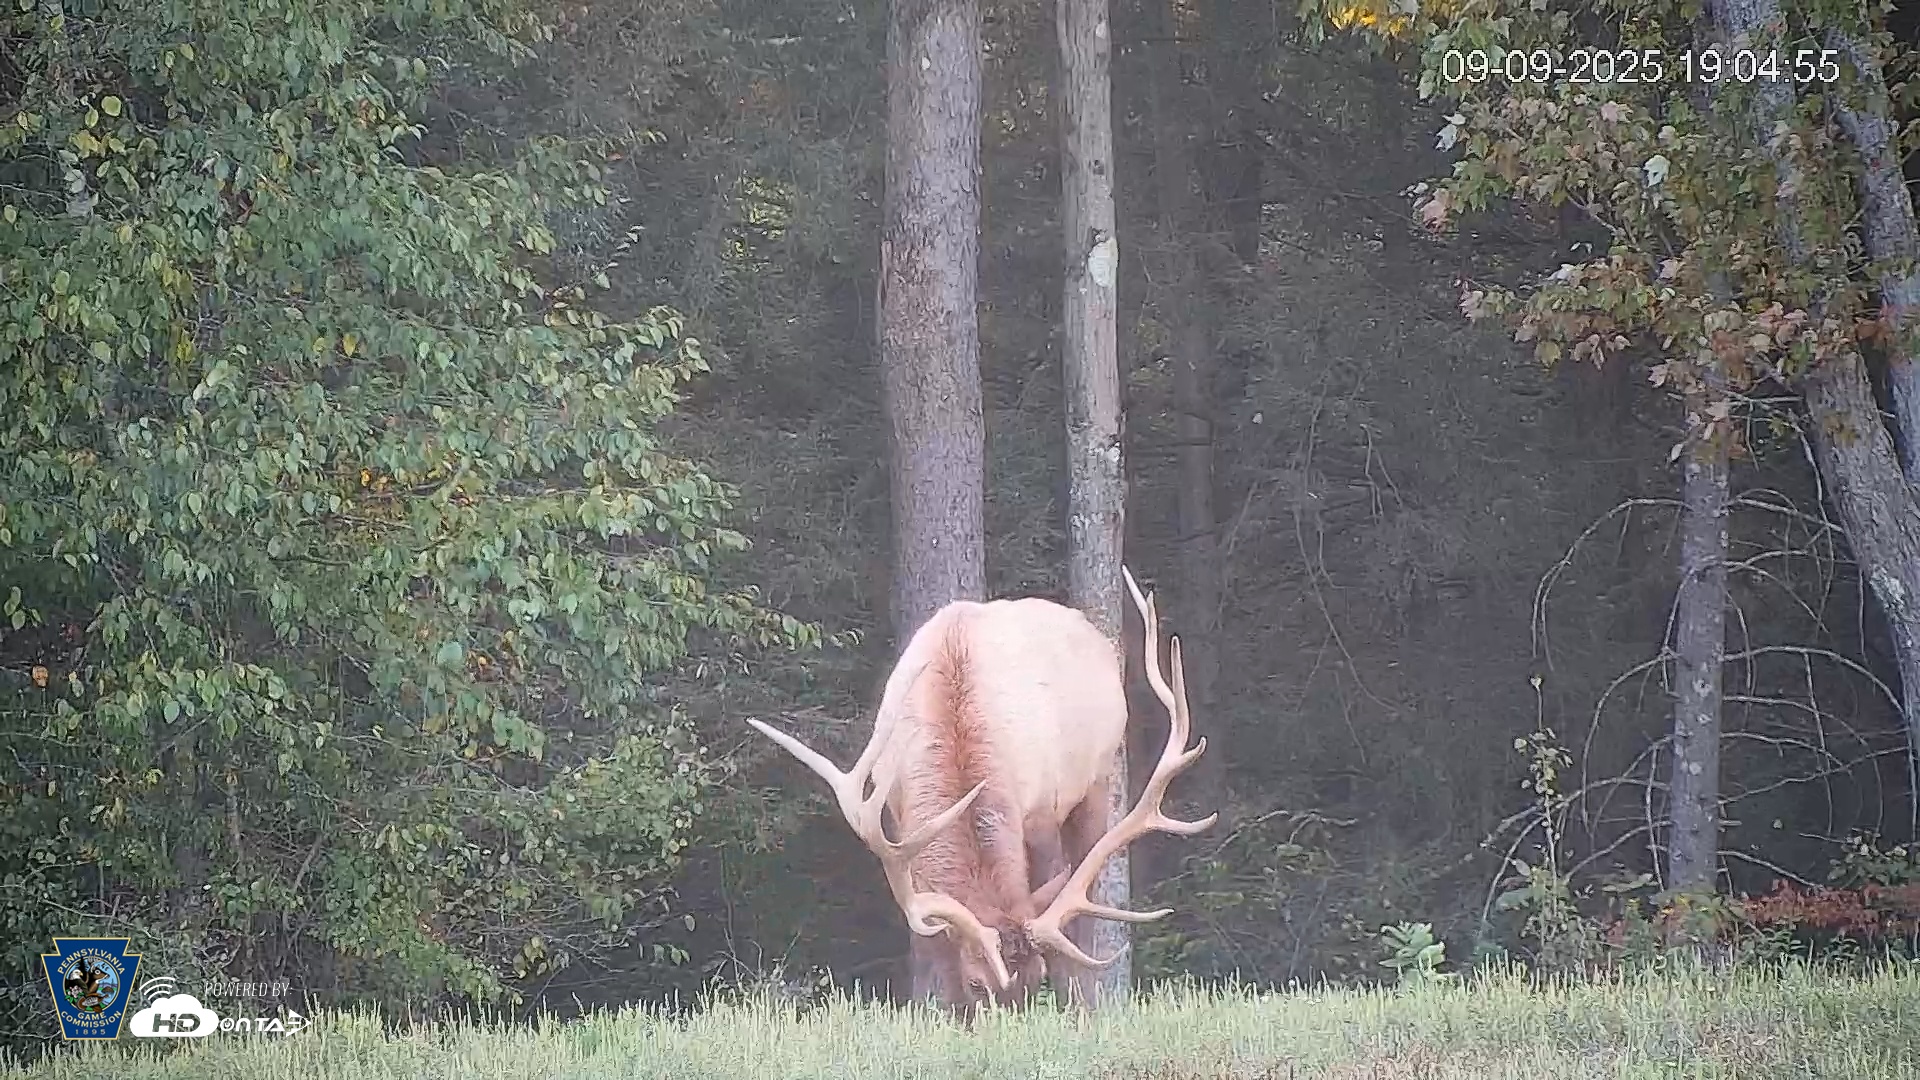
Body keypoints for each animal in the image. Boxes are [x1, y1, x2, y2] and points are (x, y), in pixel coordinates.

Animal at [745, 567, 1216, 1014]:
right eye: (976, 984)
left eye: (1035, 981)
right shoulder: (899, 826)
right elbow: (933, 943)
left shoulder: (1040, 810)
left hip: (1096, 781)